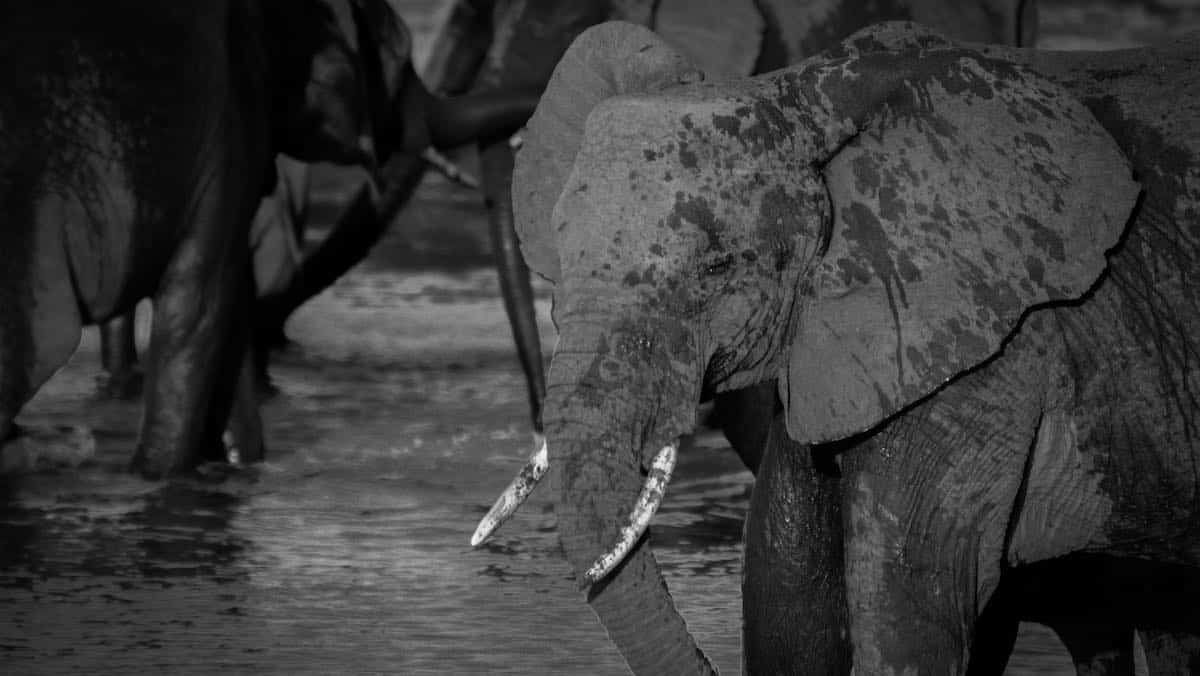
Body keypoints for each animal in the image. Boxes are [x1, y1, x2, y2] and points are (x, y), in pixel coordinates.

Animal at [463, 18, 1185, 672]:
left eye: (718, 269)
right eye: (562, 260)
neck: (798, 92)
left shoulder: (992, 348)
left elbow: (914, 611)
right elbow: (789, 598)